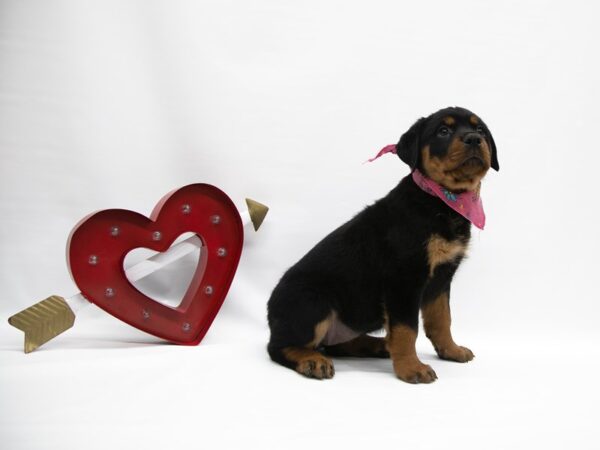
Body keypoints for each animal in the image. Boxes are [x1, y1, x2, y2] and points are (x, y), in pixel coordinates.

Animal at [266, 106, 496, 384]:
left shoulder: (441, 278)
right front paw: (411, 368)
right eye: (443, 131)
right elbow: (406, 328)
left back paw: (378, 345)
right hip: (312, 300)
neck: (442, 201)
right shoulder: (404, 278)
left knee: (336, 344)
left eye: (480, 129)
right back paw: (312, 360)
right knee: (279, 346)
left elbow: (442, 320)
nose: (474, 139)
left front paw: (451, 351)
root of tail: (270, 312)